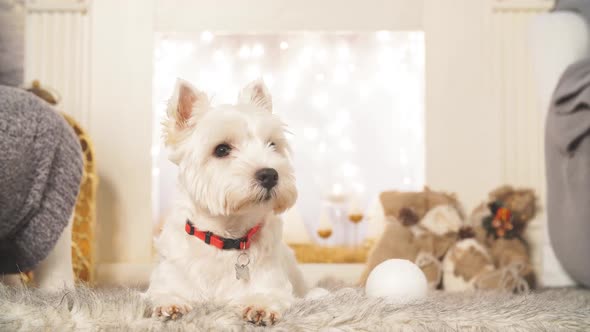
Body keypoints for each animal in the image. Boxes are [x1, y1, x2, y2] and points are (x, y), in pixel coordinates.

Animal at [146, 79, 308, 326]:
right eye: (221, 149)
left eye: (272, 145)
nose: (270, 175)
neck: (226, 237)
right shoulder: (168, 277)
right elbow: (165, 292)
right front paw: (171, 304)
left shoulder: (274, 284)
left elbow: (269, 295)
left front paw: (259, 306)